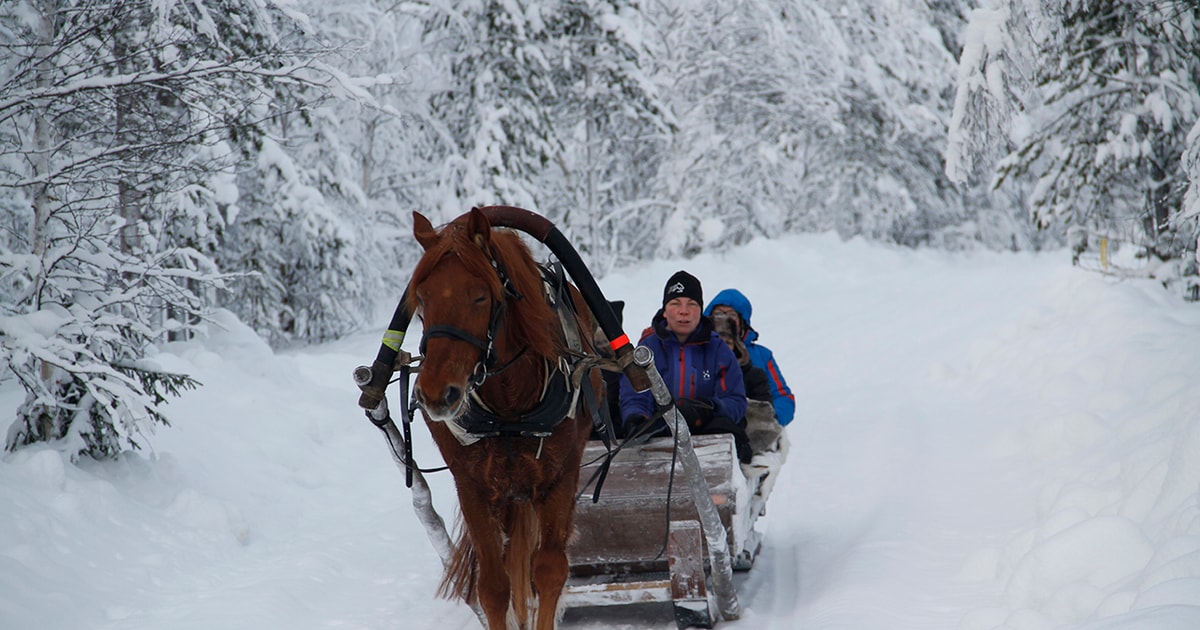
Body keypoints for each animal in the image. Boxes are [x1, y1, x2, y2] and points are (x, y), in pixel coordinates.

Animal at [410, 207, 600, 628]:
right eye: (421, 299)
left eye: (480, 296)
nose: (436, 393)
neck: (510, 411)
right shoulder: (473, 488)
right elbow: (495, 588)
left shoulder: (559, 478)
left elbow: (548, 572)